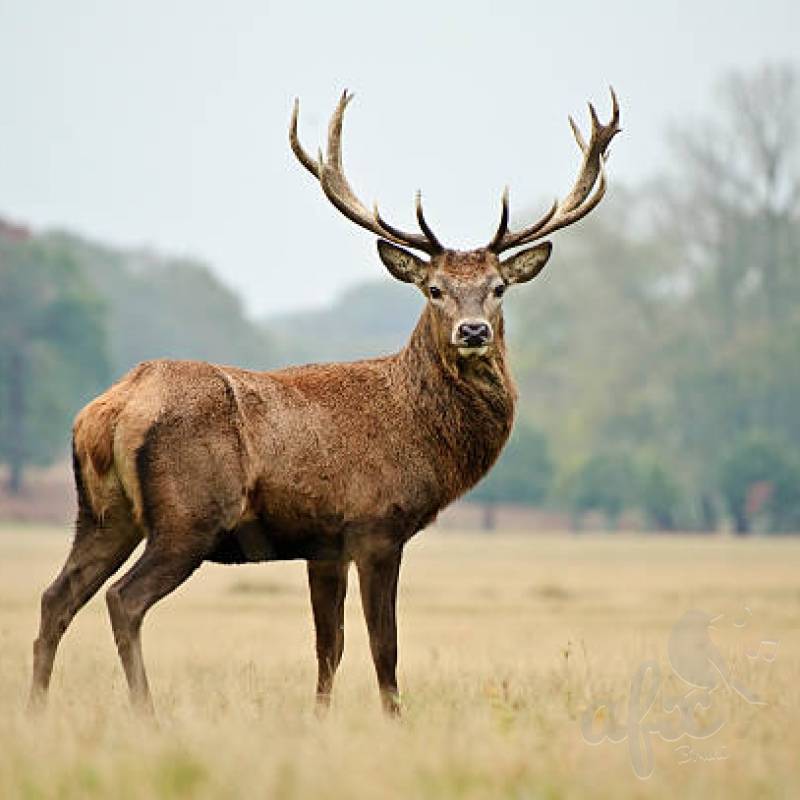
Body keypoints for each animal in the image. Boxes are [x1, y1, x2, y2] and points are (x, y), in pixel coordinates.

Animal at [29, 89, 620, 717]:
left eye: (498, 288)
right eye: (434, 289)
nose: (473, 331)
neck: (420, 433)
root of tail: (109, 410)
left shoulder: (324, 543)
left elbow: (328, 646)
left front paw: (319, 718)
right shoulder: (376, 524)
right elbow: (384, 645)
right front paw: (394, 719)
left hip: (102, 514)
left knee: (56, 597)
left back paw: (36, 709)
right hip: (188, 515)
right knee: (124, 599)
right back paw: (146, 713)